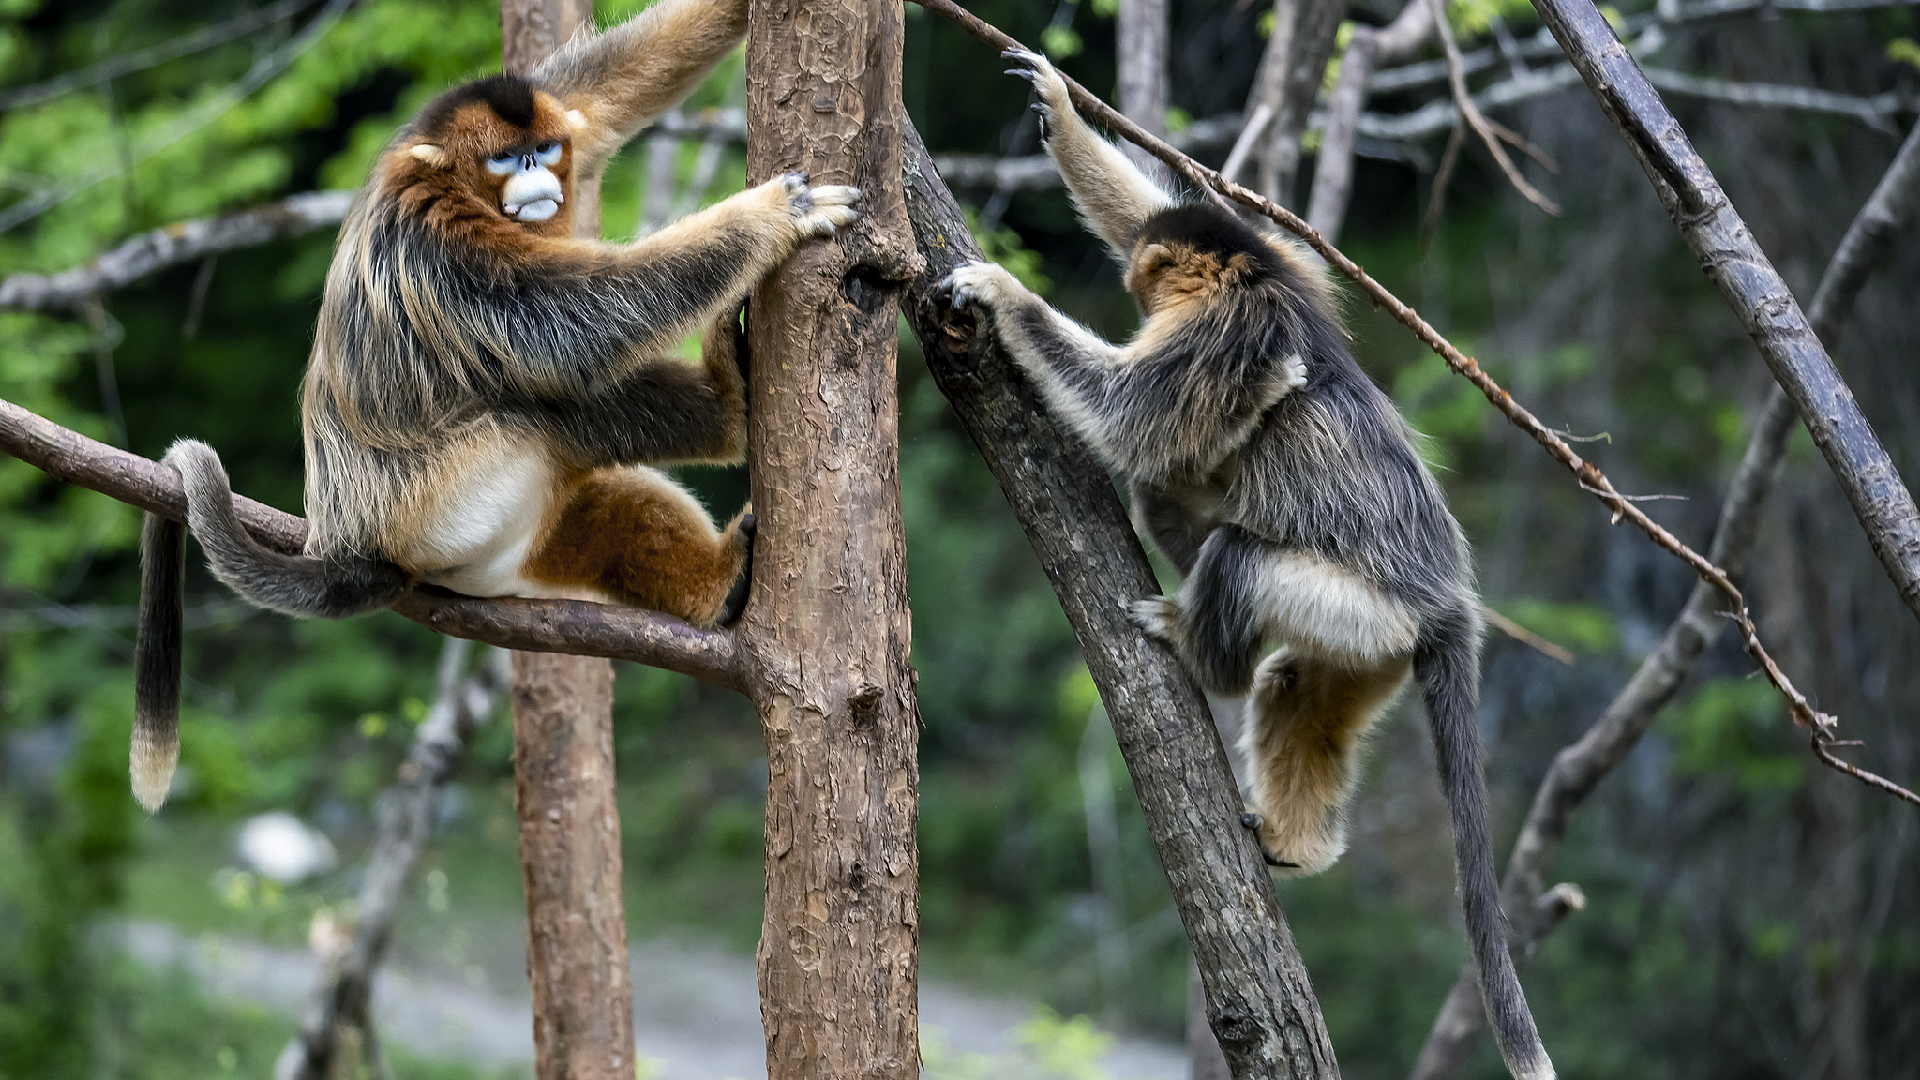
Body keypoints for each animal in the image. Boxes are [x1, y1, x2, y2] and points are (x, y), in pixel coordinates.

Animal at [131, 0, 860, 807]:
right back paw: (729, 424)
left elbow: (606, 90)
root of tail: (353, 544)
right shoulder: (441, 243)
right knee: (543, 397)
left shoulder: (546, 121)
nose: (539, 174)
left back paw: (715, 578)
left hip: (515, 545)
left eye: (542, 148)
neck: (456, 185)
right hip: (444, 508)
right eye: (507, 160)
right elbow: (579, 321)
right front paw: (773, 213)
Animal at [936, 48, 1551, 1076]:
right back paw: (1300, 843)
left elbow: (1128, 417)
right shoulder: (1287, 260)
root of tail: (1447, 602)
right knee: (1295, 679)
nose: (1140, 288)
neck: (1254, 276)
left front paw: (1007, 296)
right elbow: (1147, 218)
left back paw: (1198, 649)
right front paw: (1059, 105)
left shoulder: (1232, 322)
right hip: (1373, 642)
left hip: (1362, 607)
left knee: (1234, 555)